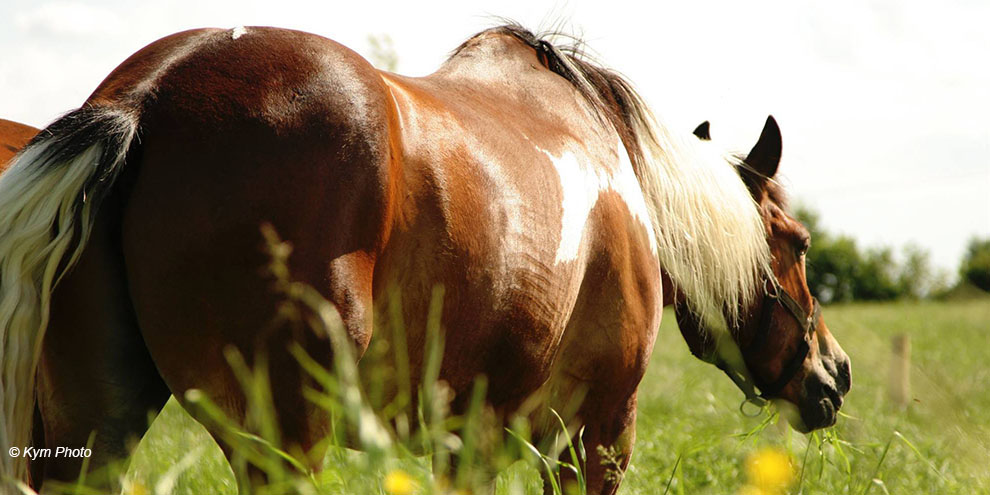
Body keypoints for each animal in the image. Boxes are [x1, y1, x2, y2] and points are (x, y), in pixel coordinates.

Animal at [0, 24, 850, 494]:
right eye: (798, 242)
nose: (834, 375)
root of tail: (145, 98)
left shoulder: (466, 444)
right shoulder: (598, 433)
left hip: (93, 432)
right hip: (280, 443)